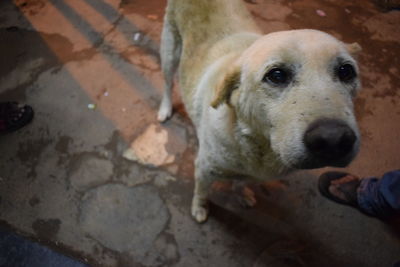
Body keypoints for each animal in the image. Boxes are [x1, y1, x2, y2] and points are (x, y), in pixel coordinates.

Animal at [157, 0, 362, 223]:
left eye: (346, 71)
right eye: (277, 75)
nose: (333, 140)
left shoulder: (250, 174)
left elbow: (240, 183)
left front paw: (241, 194)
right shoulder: (204, 169)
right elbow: (201, 192)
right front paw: (199, 208)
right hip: (169, 53)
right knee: (167, 83)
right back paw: (165, 109)